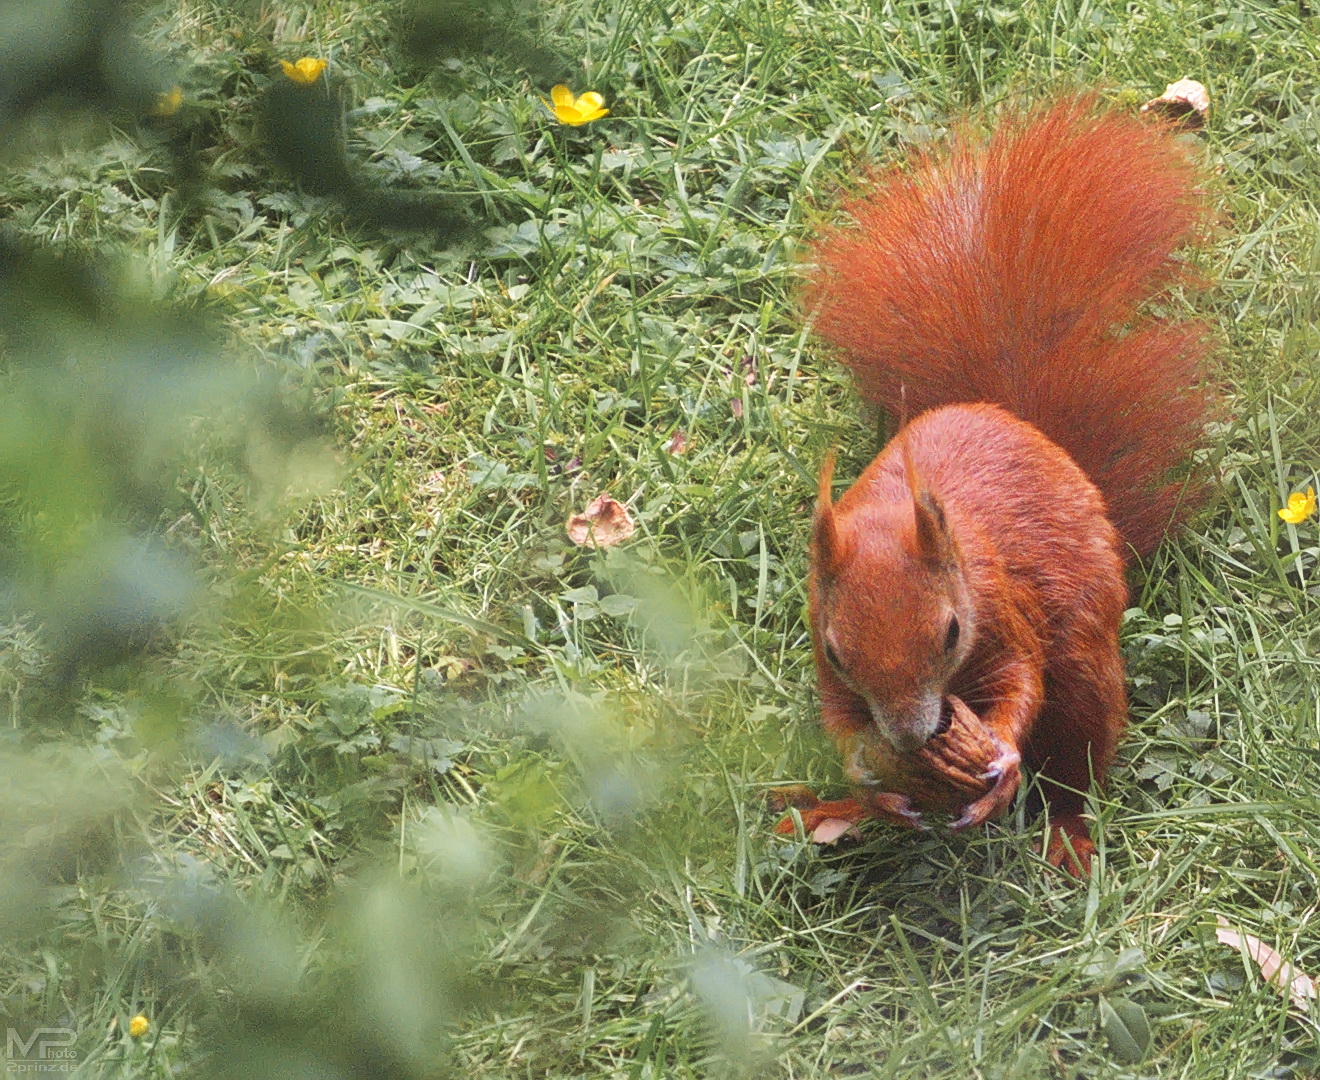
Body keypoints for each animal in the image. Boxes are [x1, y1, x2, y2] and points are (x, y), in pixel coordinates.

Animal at [776, 99, 1219, 876]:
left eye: (952, 631)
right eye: (836, 650)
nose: (913, 737)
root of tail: (1013, 418)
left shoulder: (1003, 606)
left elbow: (1021, 682)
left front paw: (1003, 757)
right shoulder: (825, 646)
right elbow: (841, 723)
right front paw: (870, 776)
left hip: (1086, 673)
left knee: (1076, 755)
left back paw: (1067, 834)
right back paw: (835, 810)